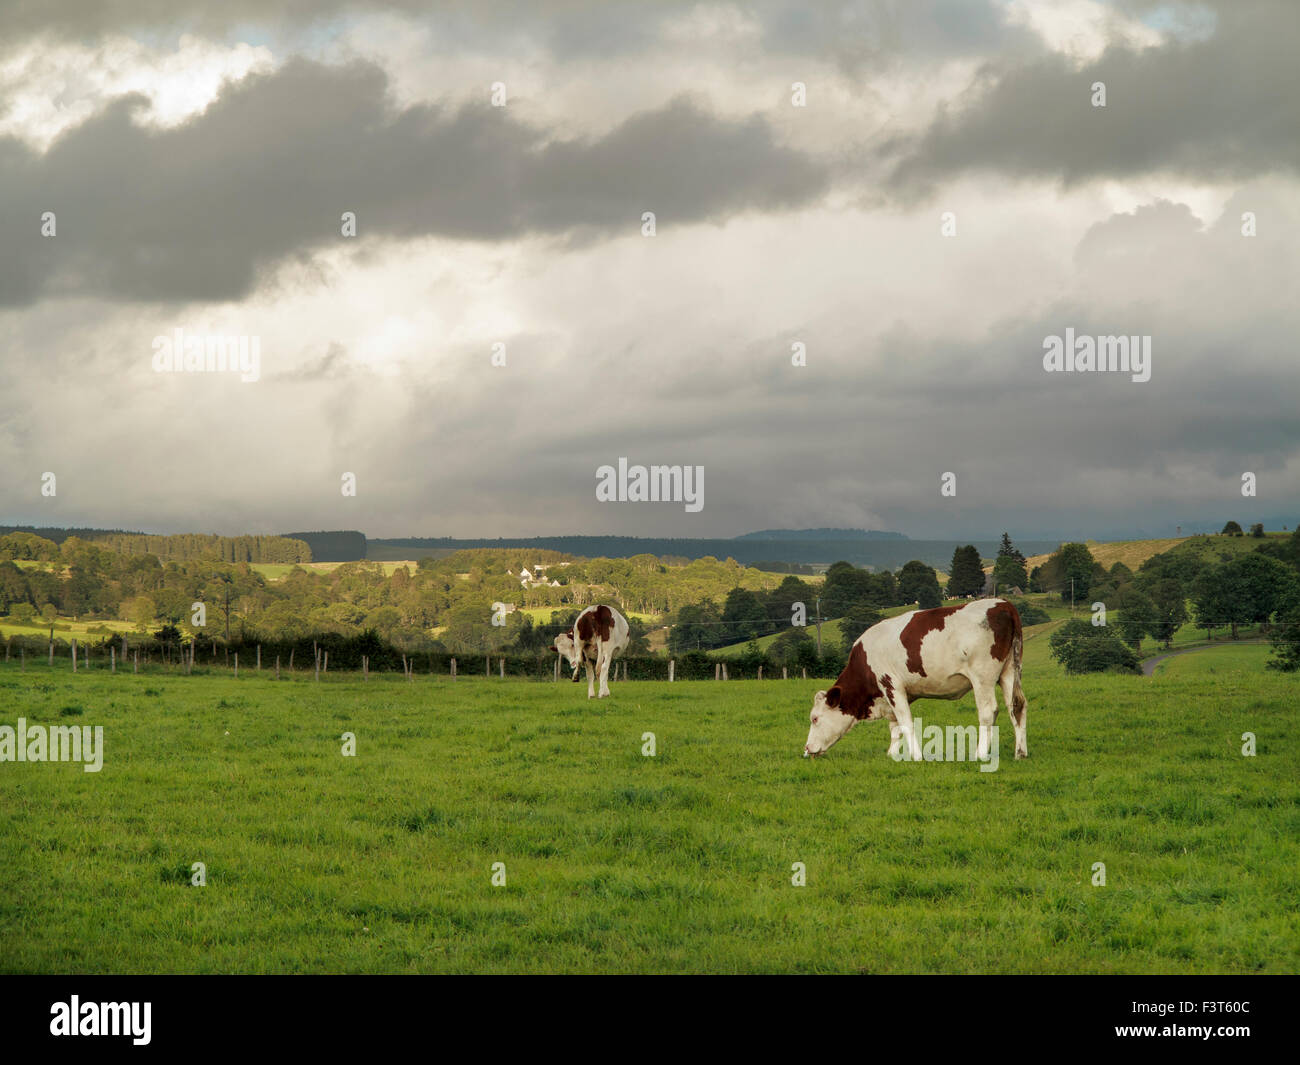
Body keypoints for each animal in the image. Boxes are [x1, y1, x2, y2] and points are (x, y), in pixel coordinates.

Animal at [800, 600, 1024, 764]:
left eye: (815, 719)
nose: (807, 748)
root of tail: (1004, 604)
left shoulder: (890, 684)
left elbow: (905, 722)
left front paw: (916, 756)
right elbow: (895, 726)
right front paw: (892, 754)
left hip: (982, 676)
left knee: (988, 712)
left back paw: (980, 754)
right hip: (1009, 672)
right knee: (1017, 706)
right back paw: (1020, 752)